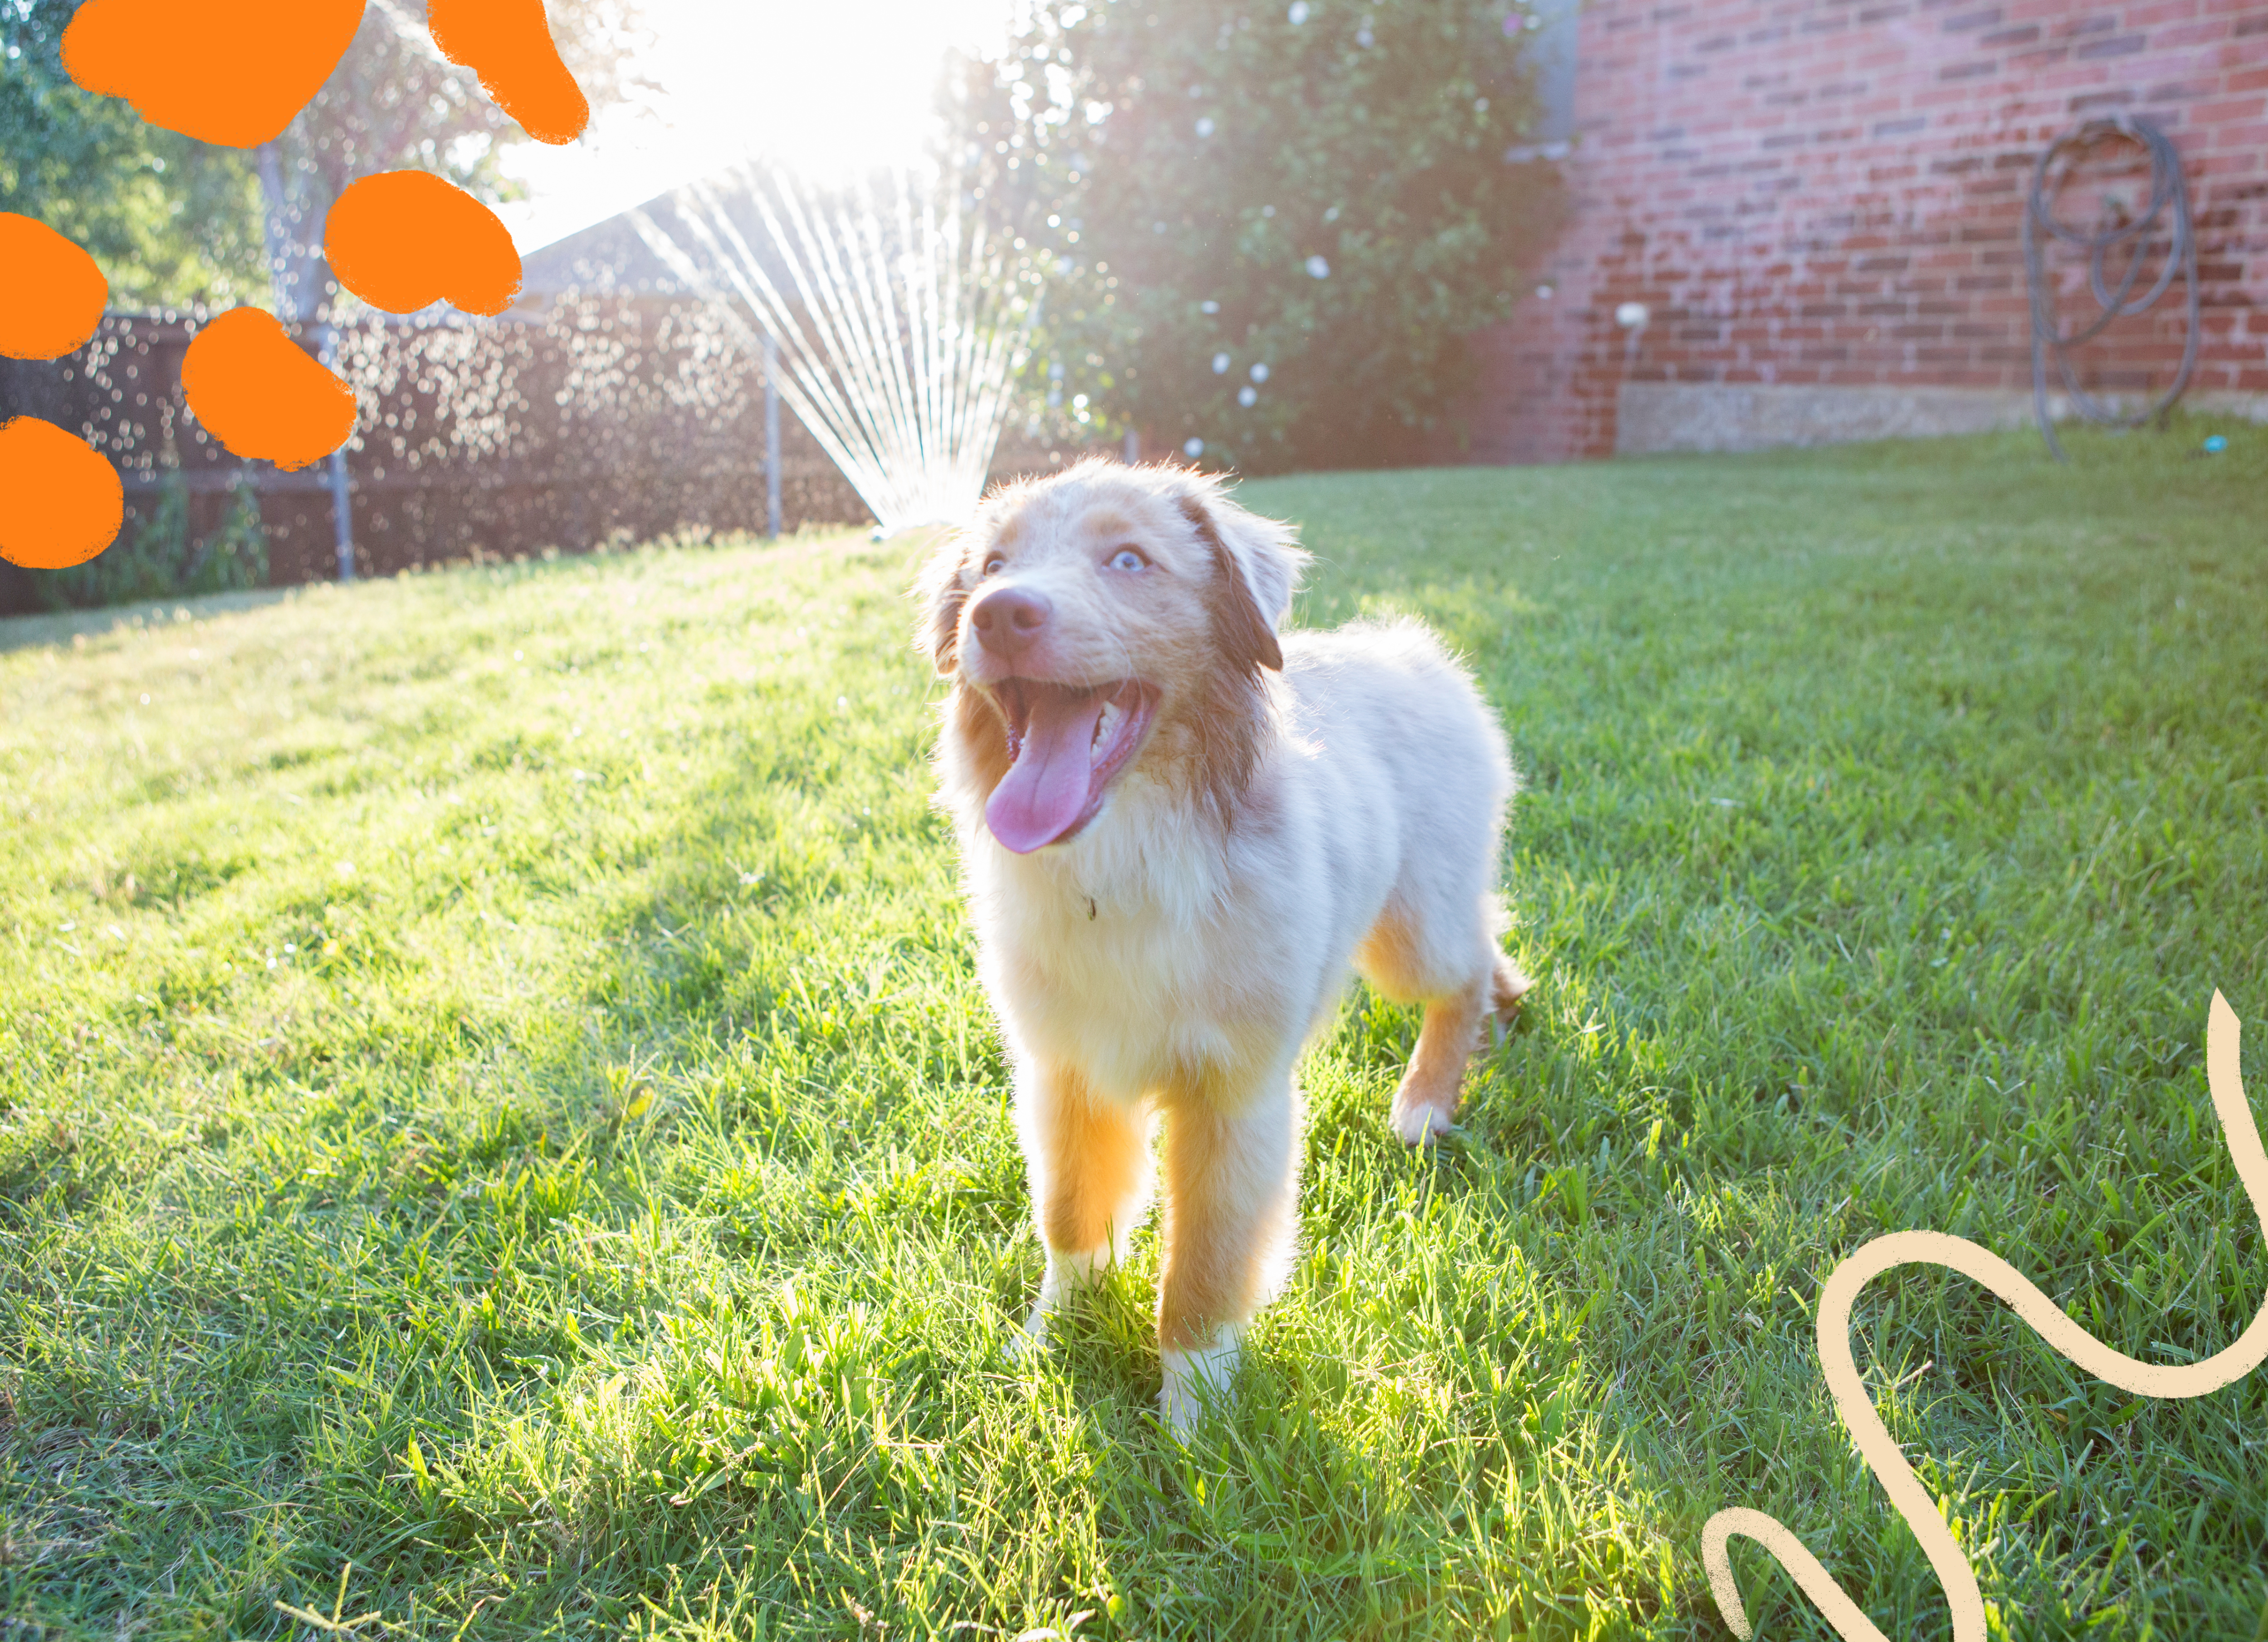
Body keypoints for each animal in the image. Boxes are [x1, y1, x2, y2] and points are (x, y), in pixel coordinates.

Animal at [907, 458, 1524, 1424]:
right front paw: (1047, 1344)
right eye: (993, 565)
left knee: (1464, 966)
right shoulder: (1066, 1073)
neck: (1126, 865)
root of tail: (1414, 653)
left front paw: (1193, 1420)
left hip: (1413, 929)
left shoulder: (1233, 1100)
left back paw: (1426, 1101)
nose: (999, 613)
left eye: (1129, 560)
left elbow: (1201, 1272)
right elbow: (1072, 1219)